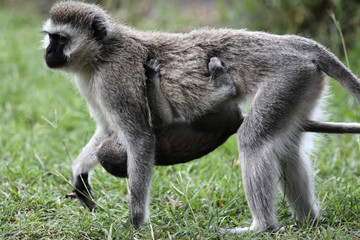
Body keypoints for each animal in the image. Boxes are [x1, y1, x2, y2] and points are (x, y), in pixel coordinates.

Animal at [43, 0, 360, 233]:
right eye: (50, 38)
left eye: (60, 39)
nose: (47, 53)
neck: (102, 54)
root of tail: (294, 44)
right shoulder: (92, 83)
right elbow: (107, 129)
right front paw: (79, 172)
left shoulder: (113, 79)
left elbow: (139, 138)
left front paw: (134, 222)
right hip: (302, 84)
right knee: (287, 150)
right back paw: (308, 221)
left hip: (287, 78)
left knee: (253, 140)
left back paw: (262, 226)